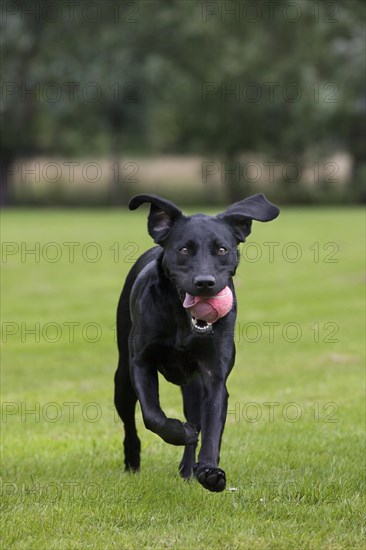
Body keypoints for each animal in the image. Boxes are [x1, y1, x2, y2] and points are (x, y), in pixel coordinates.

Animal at [115, 193, 280, 492]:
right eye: (183, 250)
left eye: (222, 249)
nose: (205, 282)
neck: (184, 323)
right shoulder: (141, 363)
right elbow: (152, 415)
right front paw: (181, 432)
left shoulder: (214, 375)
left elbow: (212, 424)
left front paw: (209, 471)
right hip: (122, 377)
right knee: (130, 422)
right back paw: (133, 460)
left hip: (193, 386)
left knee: (195, 416)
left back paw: (188, 469)